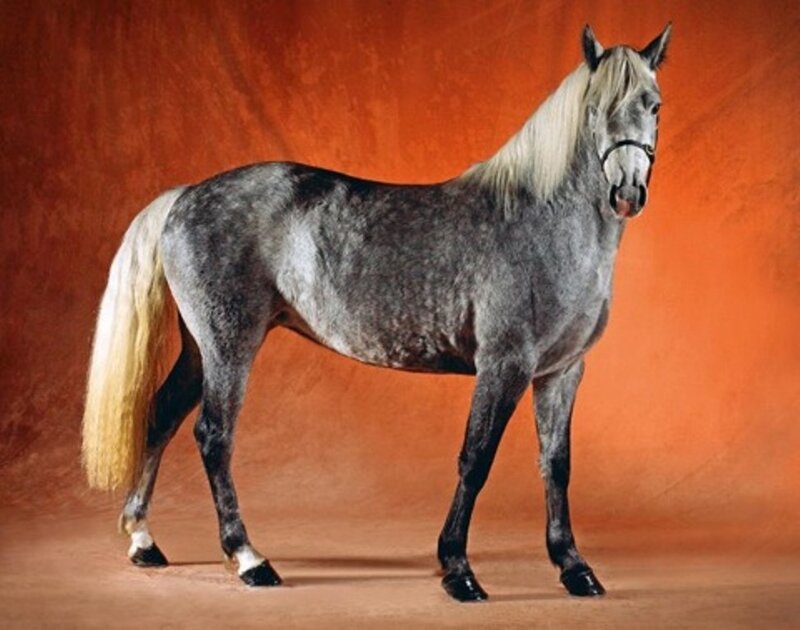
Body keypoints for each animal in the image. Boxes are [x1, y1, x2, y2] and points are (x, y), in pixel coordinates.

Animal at [81, 24, 671, 602]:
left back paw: (143, 540)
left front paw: (574, 567)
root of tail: (184, 196)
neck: (537, 218)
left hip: (199, 349)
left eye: (654, 105)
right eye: (596, 107)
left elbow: (556, 464)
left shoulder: (561, 371)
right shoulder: (504, 365)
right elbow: (476, 458)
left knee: (162, 415)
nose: (627, 192)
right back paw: (249, 558)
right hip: (229, 346)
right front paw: (457, 570)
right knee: (213, 435)